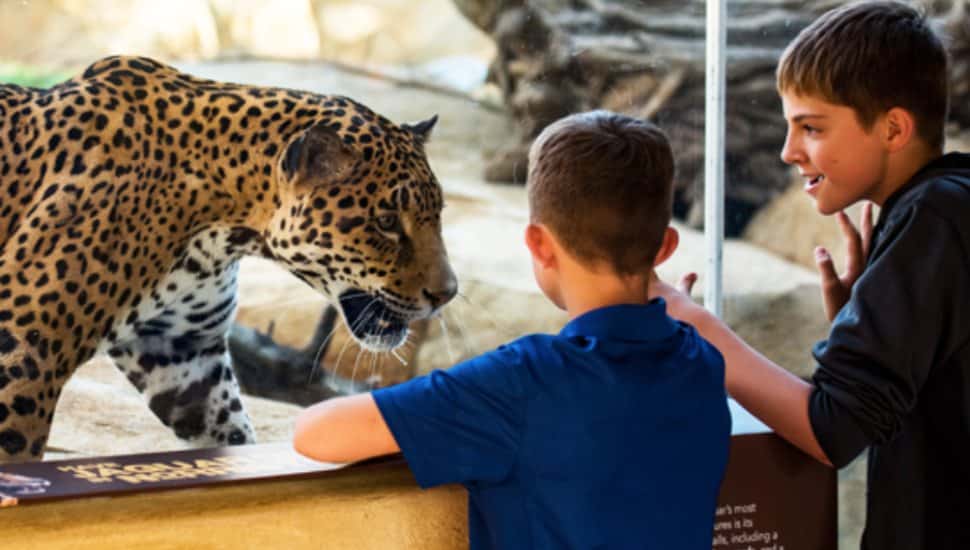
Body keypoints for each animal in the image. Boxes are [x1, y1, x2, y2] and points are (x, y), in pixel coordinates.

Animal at [0, 55, 457, 463]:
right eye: (386, 222)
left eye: (438, 214)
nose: (447, 294)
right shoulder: (25, 349)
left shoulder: (183, 354)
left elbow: (230, 435)